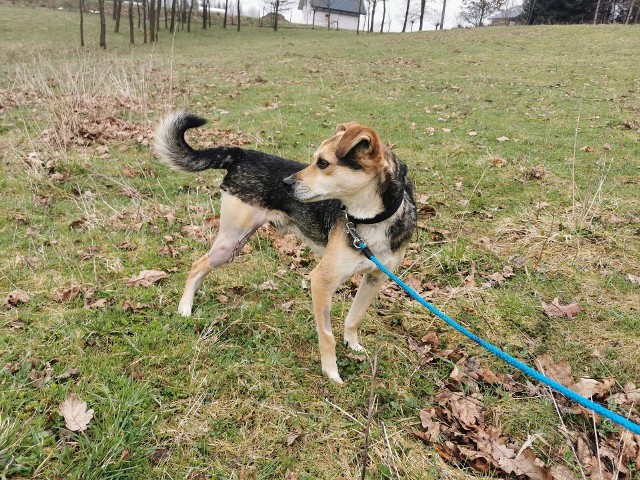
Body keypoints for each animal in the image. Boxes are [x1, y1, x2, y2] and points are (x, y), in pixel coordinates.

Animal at [153, 112, 418, 382]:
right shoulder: (322, 280)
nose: (285, 184)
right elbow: (327, 336)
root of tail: (243, 154)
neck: (370, 219)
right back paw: (185, 308)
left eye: (323, 163)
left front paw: (352, 345)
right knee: (197, 265)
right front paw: (331, 373)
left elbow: (354, 318)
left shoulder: (375, 278)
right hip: (230, 244)